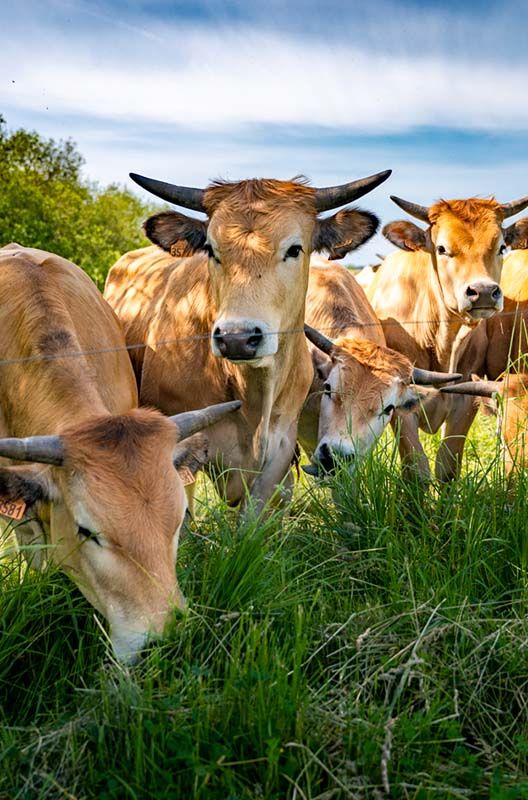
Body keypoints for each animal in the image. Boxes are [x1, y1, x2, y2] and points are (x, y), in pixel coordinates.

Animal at [366, 194, 528, 482]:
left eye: (501, 247)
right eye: (442, 248)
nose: (483, 291)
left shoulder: (465, 396)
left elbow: (447, 466)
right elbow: (416, 468)